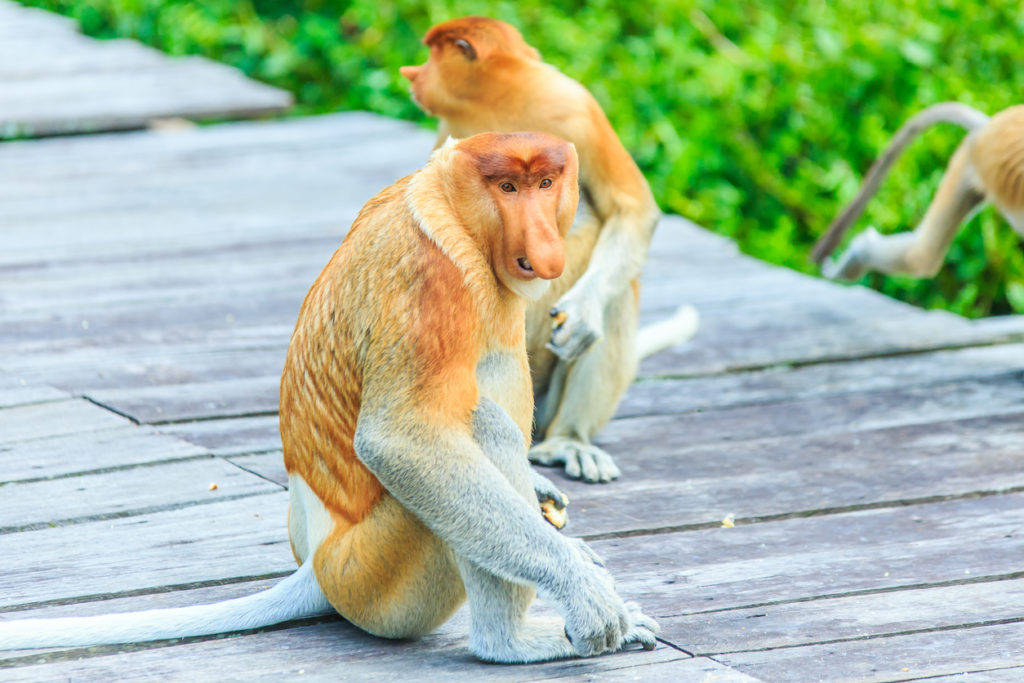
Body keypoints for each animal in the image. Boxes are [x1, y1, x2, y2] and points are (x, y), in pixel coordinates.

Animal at [0, 132, 659, 663]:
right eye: (507, 186)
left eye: (546, 183)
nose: (544, 239)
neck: (448, 203)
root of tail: (318, 565)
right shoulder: (432, 279)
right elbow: (401, 441)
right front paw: (586, 590)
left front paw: (551, 503)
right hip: (372, 576)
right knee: (477, 427)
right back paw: (512, 642)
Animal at [395, 17, 700, 485]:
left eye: (432, 55)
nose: (412, 73)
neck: (502, 101)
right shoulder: (450, 138)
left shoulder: (575, 108)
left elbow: (633, 208)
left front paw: (581, 316)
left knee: (616, 297)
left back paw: (569, 441)